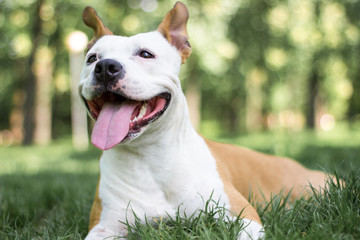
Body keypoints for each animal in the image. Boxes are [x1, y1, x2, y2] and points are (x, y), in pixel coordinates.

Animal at [79, 2, 330, 240]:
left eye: (146, 54)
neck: (150, 156)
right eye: (92, 58)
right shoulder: (103, 228)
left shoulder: (244, 215)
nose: (105, 67)